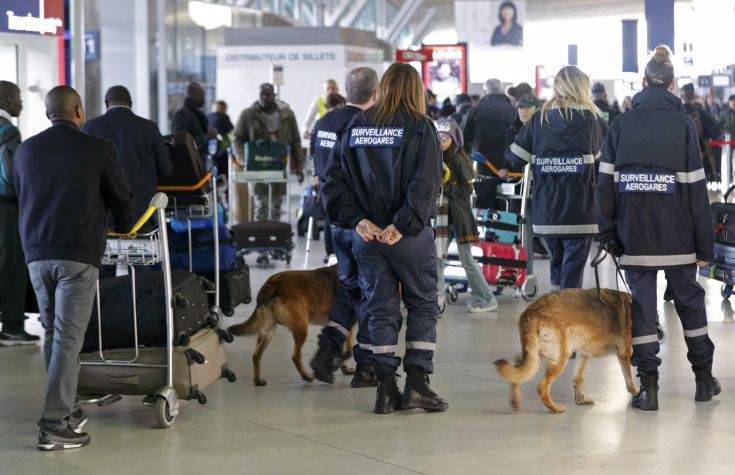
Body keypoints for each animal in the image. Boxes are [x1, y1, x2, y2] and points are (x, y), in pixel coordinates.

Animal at [494, 288, 640, 414]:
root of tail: (531, 312)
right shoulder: (624, 354)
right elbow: (629, 382)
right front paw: (637, 392)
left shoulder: (584, 354)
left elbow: (578, 378)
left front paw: (580, 399)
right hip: (559, 359)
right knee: (542, 387)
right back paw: (554, 408)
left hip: (534, 354)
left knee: (517, 368)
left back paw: (515, 400)